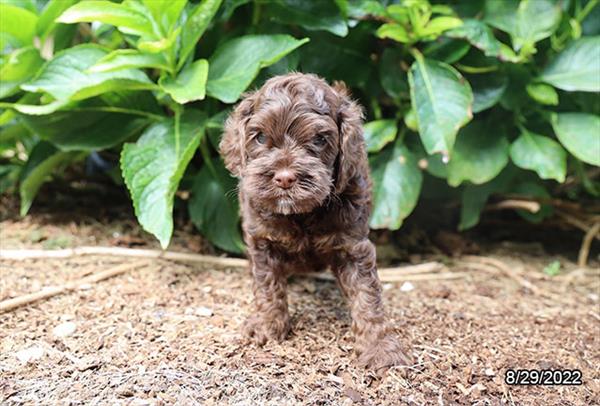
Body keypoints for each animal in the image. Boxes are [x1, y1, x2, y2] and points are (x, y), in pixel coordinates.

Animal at [220, 73, 412, 372]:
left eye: (320, 140)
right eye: (260, 136)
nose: (285, 178)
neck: (302, 214)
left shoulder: (353, 246)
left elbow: (367, 295)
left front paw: (380, 348)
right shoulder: (263, 241)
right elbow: (267, 286)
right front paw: (266, 324)